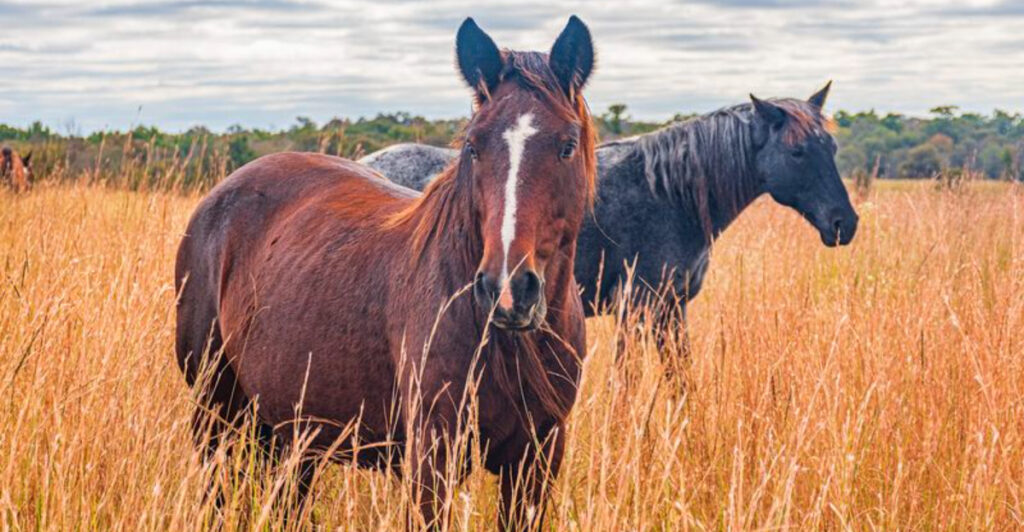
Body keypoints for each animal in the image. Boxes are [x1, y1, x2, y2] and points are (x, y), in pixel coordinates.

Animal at [175, 16, 596, 530]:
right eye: (473, 146)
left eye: (567, 146)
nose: (507, 290)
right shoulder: (433, 452)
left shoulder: (537, 455)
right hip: (216, 414)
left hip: (292, 435)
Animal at [361, 83, 859, 350]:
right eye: (797, 152)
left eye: (832, 147)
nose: (844, 224)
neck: (672, 193)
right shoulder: (639, 308)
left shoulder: (671, 311)